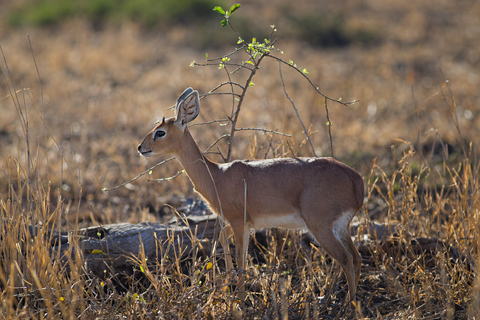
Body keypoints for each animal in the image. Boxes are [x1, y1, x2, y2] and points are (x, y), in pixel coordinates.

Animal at [136, 89, 364, 302]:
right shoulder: (245, 223)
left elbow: (241, 260)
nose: (141, 148)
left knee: (345, 259)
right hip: (341, 227)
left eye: (160, 132)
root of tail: (356, 180)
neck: (217, 176)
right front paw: (227, 289)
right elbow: (224, 240)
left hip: (321, 227)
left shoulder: (238, 221)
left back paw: (348, 303)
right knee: (357, 257)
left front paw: (239, 298)